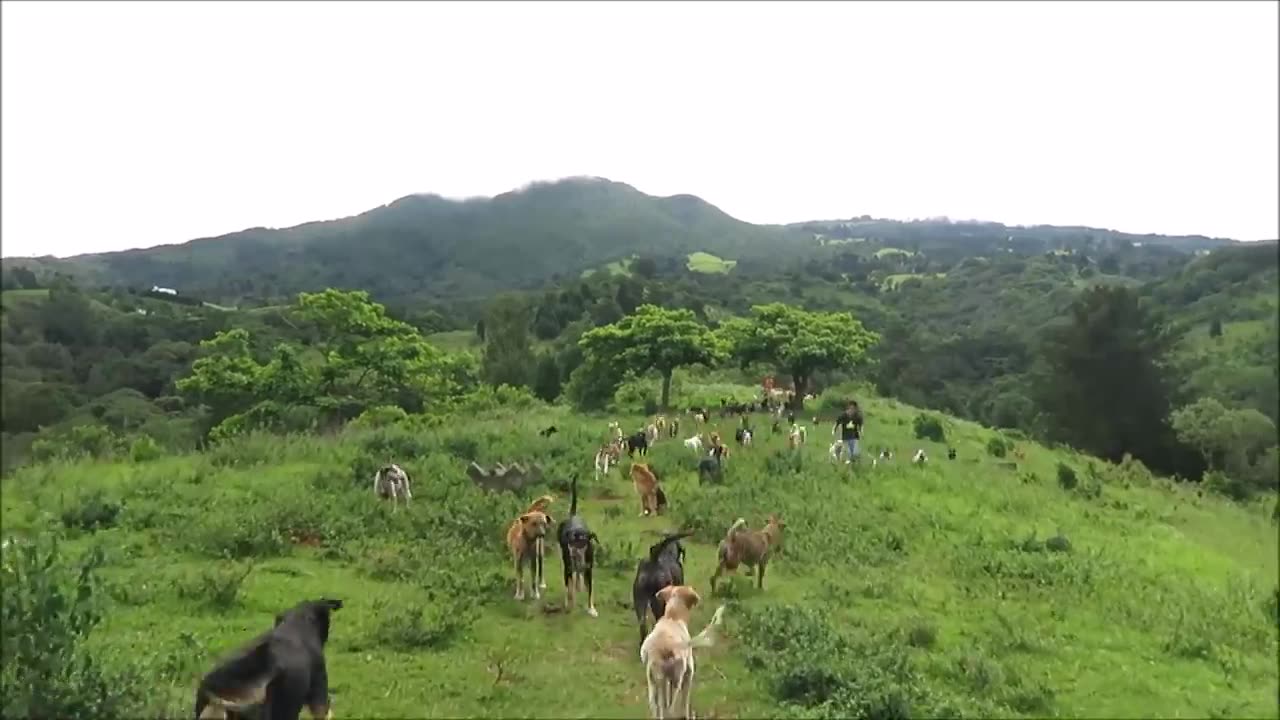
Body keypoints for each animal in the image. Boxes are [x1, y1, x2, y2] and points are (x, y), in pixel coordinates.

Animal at [555, 471, 599, 617]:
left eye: (582, 541)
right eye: (570, 541)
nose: (573, 552)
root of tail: (573, 515)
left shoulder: (589, 569)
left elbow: (590, 591)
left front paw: (591, 609)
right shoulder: (569, 567)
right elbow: (569, 589)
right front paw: (569, 603)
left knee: (578, 576)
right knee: (569, 581)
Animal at [637, 584, 727, 717]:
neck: (672, 616)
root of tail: (663, 648)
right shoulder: (689, 672)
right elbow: (685, 702)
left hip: (653, 682)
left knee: (657, 707)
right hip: (676, 679)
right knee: (669, 708)